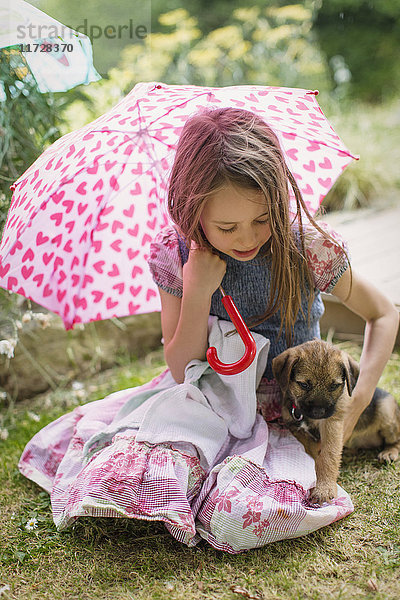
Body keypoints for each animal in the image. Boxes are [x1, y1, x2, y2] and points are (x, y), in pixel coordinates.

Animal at [272, 340, 400, 504]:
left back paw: (389, 452)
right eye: (304, 385)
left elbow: (328, 456)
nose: (319, 413)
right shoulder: (297, 430)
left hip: (386, 411)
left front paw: (324, 488)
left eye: (334, 386)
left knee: (396, 440)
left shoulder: (332, 424)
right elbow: (312, 455)